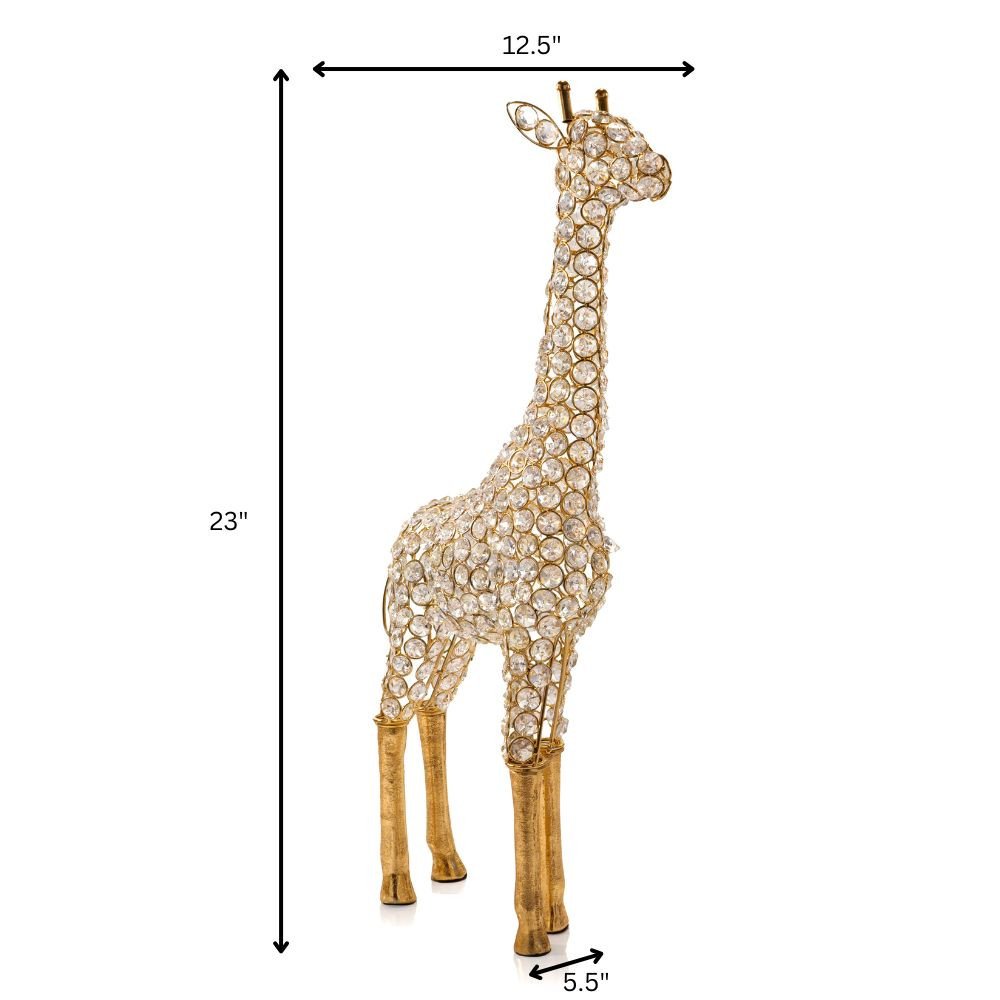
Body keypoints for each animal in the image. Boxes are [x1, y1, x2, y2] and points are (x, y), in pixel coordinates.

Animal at [374, 82, 671, 956]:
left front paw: (560, 915)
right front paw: (532, 935)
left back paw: (447, 866)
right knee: (387, 712)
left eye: (634, 131)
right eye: (596, 147)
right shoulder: (530, 634)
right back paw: (398, 885)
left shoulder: (563, 635)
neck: (568, 479)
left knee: (430, 709)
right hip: (412, 629)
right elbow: (520, 759)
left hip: (453, 638)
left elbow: (553, 752)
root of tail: (401, 535)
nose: (664, 172)